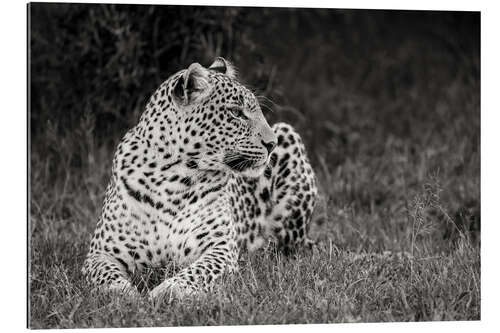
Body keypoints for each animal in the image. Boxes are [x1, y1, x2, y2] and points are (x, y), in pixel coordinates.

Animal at [81, 57, 316, 300]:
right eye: (236, 112)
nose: (272, 143)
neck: (170, 178)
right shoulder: (100, 252)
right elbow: (107, 276)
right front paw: (126, 296)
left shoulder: (220, 248)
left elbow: (199, 271)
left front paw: (169, 290)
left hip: (289, 137)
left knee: (286, 247)